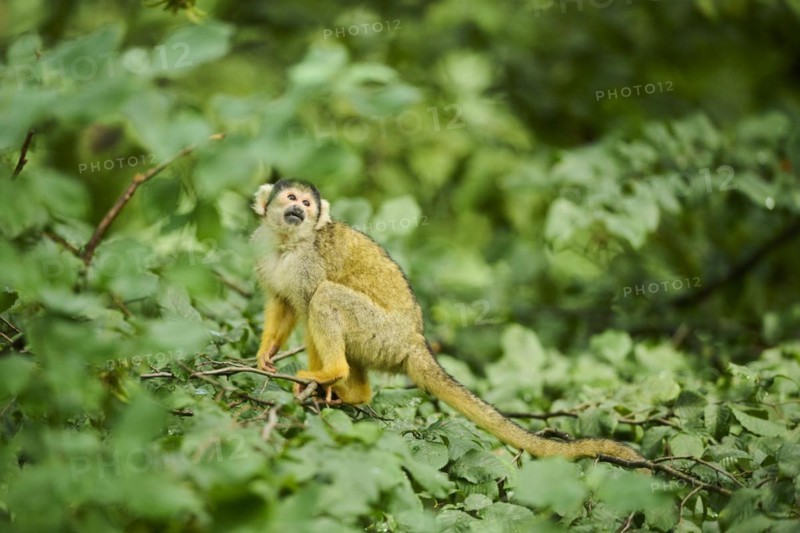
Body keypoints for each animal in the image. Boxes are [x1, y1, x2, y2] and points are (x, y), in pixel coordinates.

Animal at [251, 179, 644, 462]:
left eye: (307, 204)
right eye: (290, 197)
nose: (297, 209)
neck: (290, 242)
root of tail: (417, 342)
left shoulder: (309, 262)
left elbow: (307, 305)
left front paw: (317, 380)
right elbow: (282, 303)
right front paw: (266, 354)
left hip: (382, 333)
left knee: (326, 297)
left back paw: (333, 373)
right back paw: (356, 391)